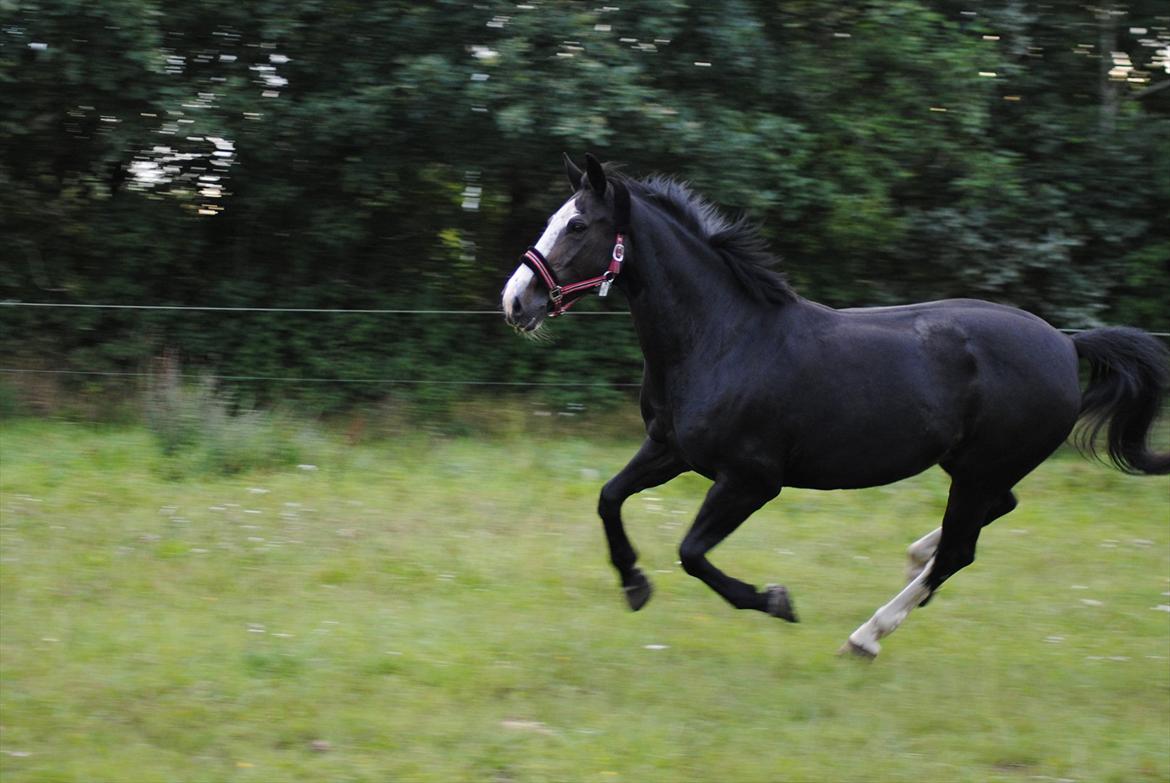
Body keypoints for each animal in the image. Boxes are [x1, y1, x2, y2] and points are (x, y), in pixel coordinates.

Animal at [503, 150, 1170, 655]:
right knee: (991, 514)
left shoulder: (751, 479)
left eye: (578, 227)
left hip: (981, 467)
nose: (516, 301)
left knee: (962, 549)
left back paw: (867, 635)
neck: (722, 336)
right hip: (975, 467)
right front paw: (635, 585)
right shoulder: (670, 450)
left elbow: (691, 553)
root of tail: (1067, 342)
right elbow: (608, 498)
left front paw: (775, 601)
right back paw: (914, 559)